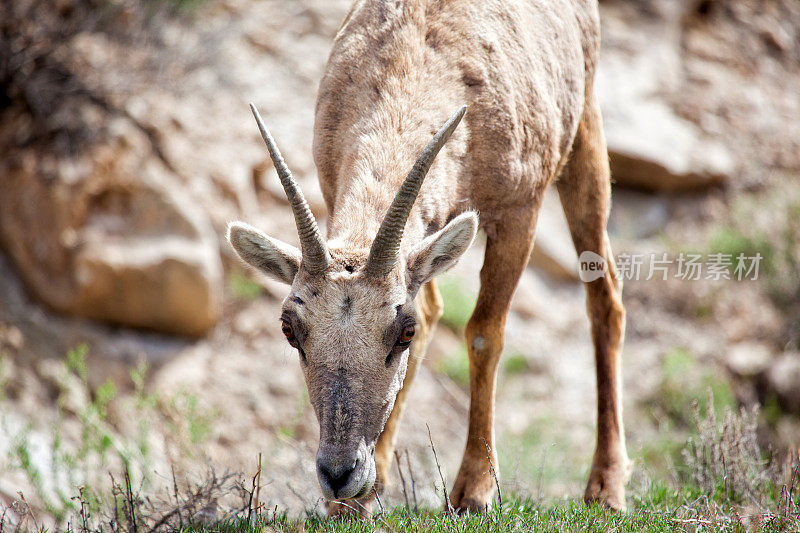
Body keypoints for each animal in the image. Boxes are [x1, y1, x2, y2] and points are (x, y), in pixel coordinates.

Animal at [227, 0, 632, 516]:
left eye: (403, 331)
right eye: (289, 329)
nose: (339, 476)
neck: (418, 55)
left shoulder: (519, 210)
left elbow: (483, 334)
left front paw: (473, 491)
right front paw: (362, 499)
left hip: (585, 133)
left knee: (605, 298)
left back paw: (606, 486)